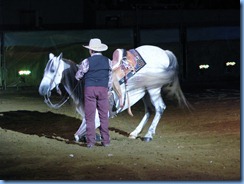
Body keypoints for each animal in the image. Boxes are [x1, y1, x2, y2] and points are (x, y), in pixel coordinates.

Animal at [38, 45, 191, 142]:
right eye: (45, 69)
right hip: (145, 91)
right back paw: (135, 133)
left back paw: (148, 135)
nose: (42, 89)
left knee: (159, 108)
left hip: (153, 89)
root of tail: (164, 52)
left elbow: (79, 134)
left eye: (52, 70)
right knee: (149, 110)